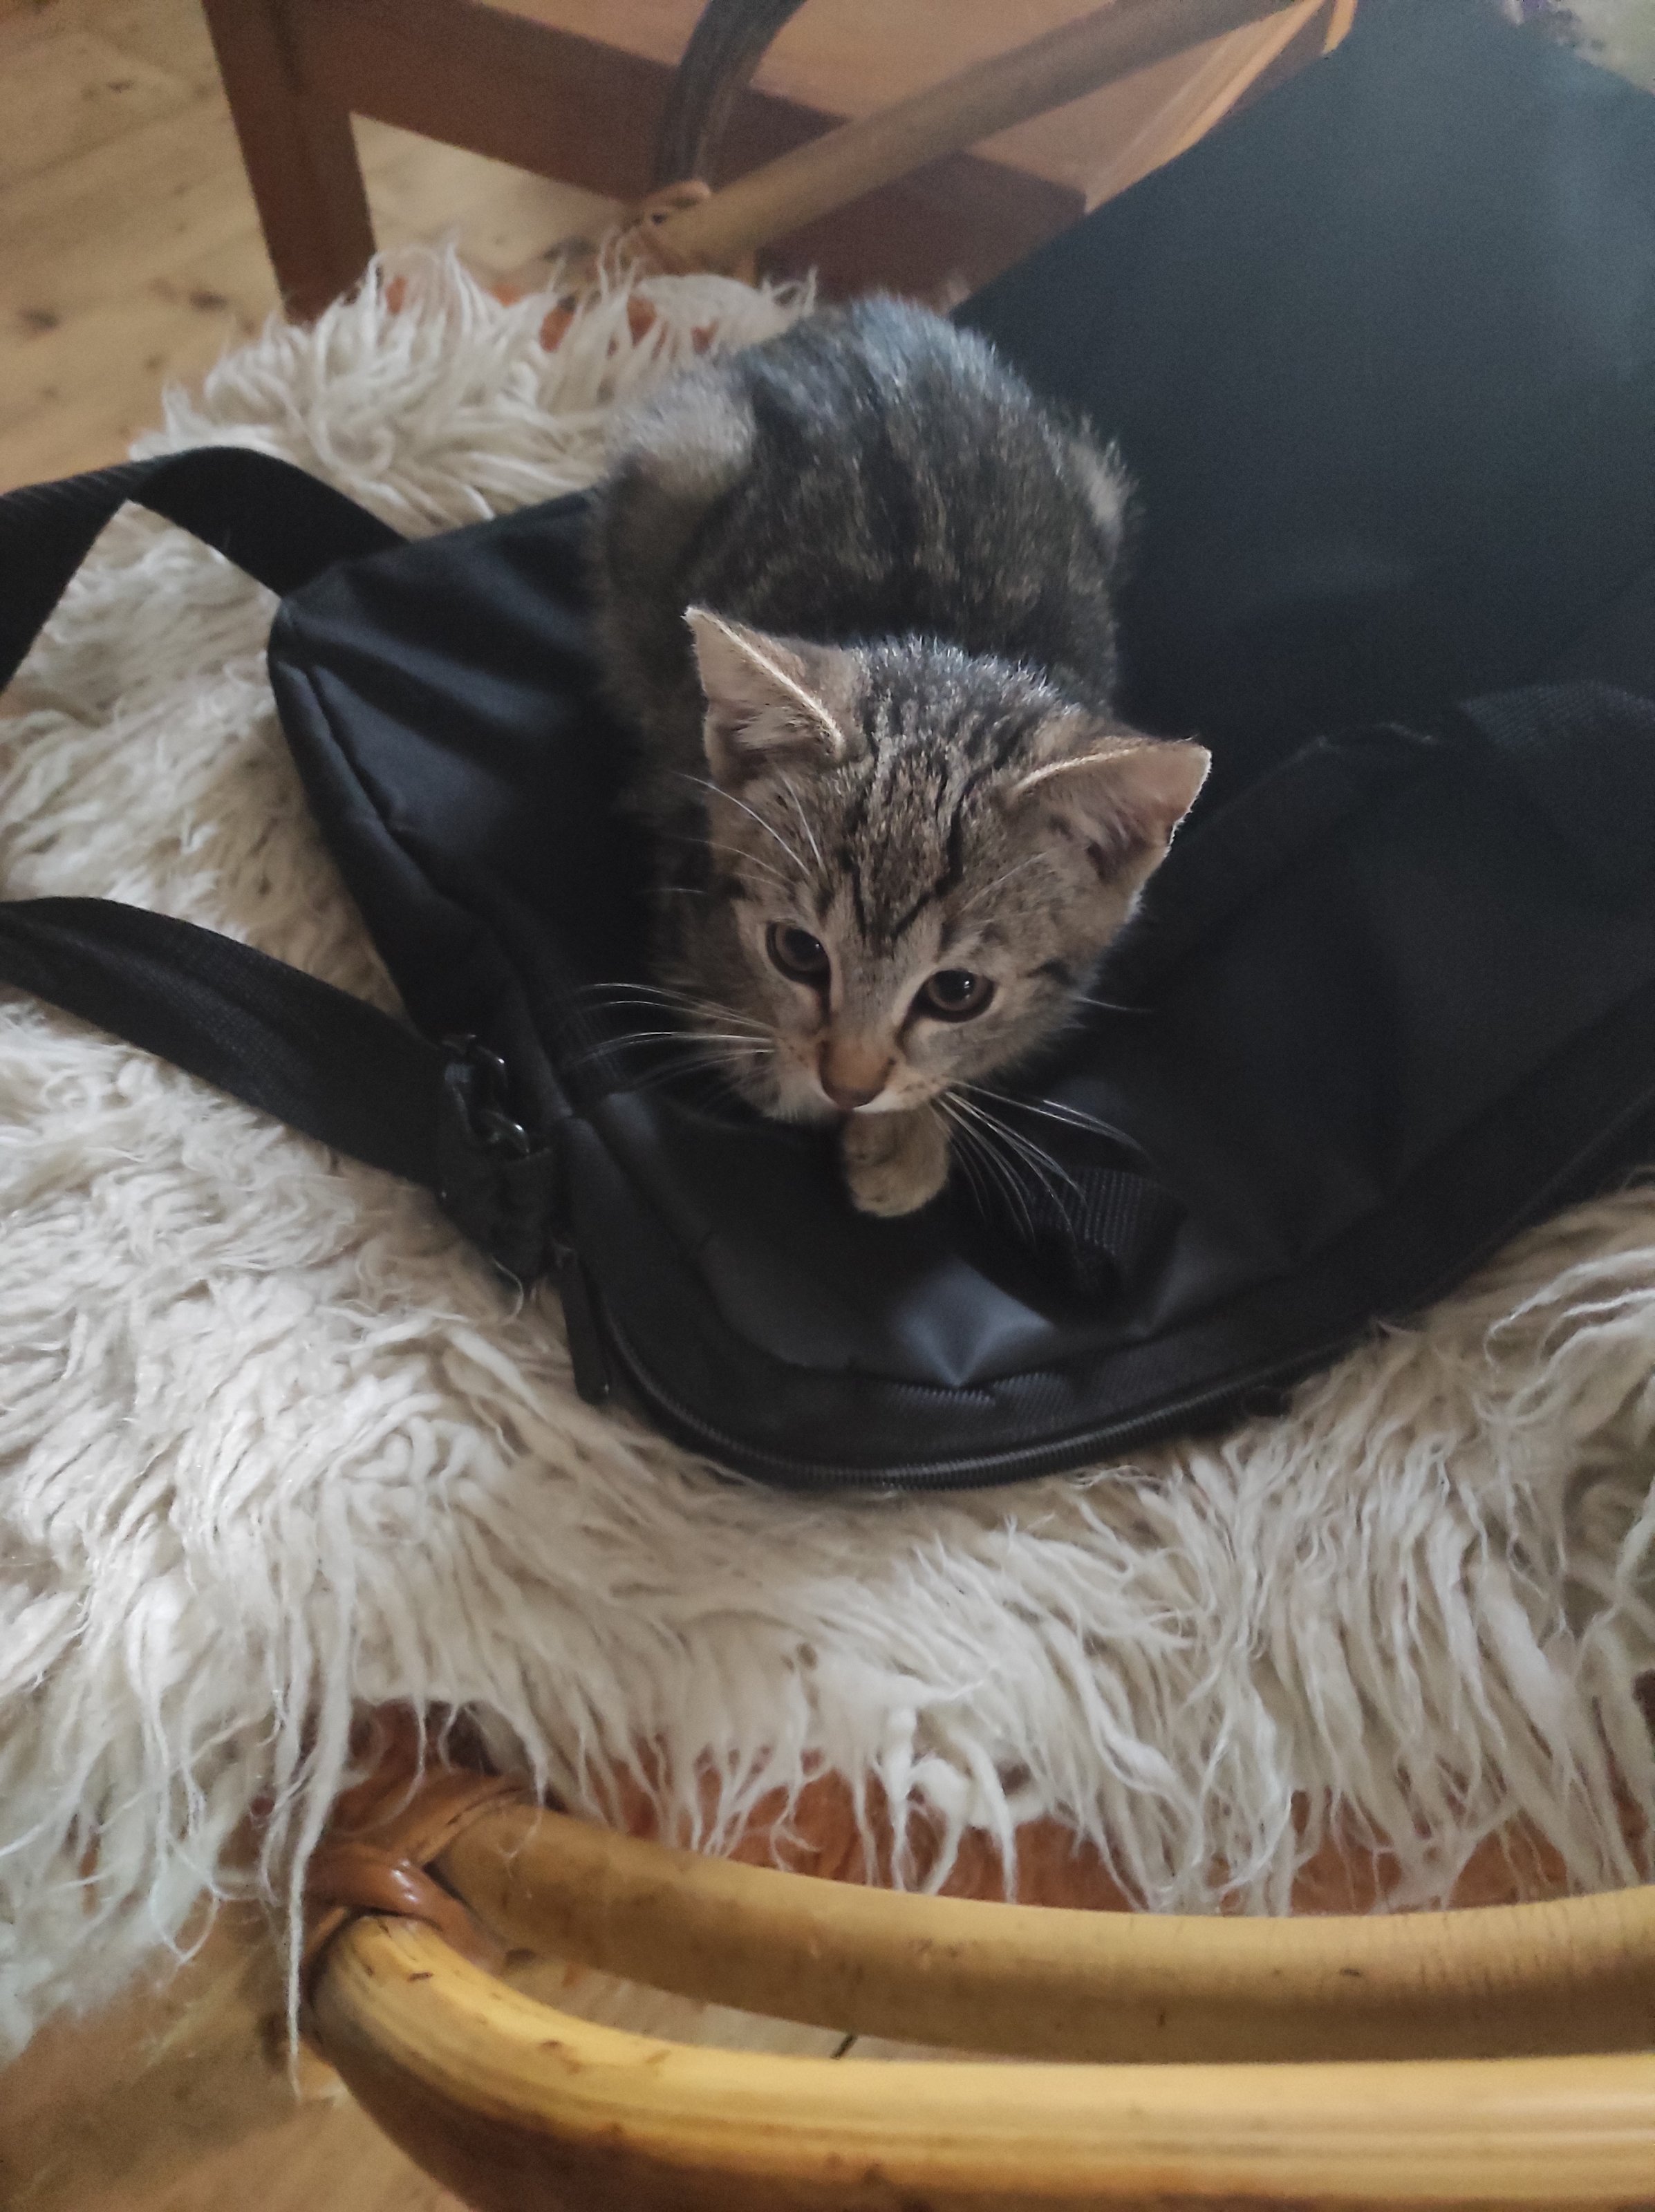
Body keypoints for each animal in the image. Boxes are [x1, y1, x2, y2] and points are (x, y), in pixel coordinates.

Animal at [587, 297, 1208, 1218]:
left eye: (957, 992)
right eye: (798, 951)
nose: (849, 1085)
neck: (946, 644)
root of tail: (856, 315)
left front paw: (910, 1131)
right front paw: (785, 1069)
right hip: (674, 467)